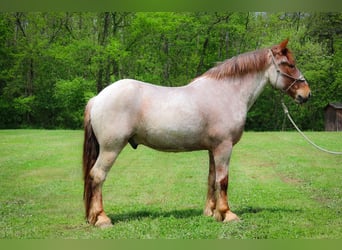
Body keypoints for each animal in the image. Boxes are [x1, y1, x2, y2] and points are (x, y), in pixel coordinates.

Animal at [82, 38, 310, 227]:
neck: (226, 92)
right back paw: (102, 218)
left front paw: (212, 212)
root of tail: (98, 98)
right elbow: (223, 181)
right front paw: (227, 214)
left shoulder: (213, 149)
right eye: (289, 64)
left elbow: (212, 179)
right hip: (111, 149)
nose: (306, 94)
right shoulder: (224, 147)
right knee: (97, 176)